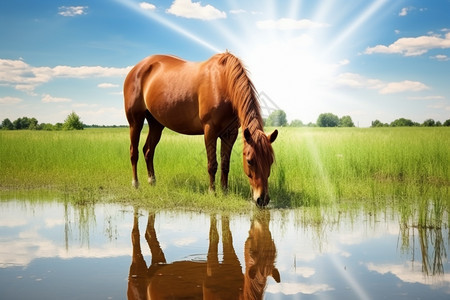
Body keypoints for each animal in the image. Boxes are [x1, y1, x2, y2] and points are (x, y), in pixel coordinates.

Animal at [124, 51, 278, 206]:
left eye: (271, 161)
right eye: (250, 161)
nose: (262, 199)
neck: (222, 81)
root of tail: (137, 68)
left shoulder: (230, 133)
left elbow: (225, 164)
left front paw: (225, 191)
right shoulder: (210, 131)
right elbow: (212, 164)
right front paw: (212, 192)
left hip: (156, 124)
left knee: (148, 151)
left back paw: (152, 181)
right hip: (135, 122)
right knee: (133, 152)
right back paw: (135, 184)